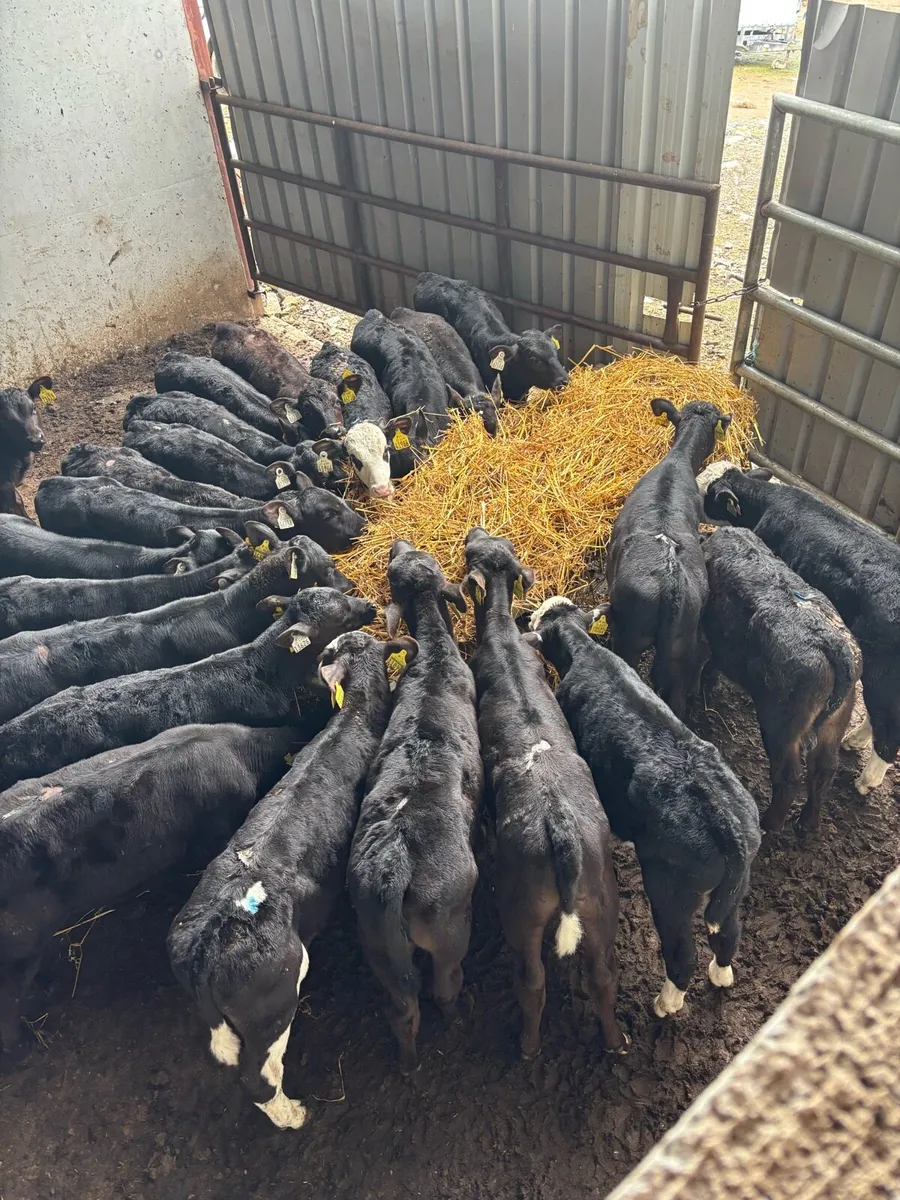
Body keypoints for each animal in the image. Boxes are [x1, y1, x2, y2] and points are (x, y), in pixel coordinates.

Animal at [348, 541, 482, 1073]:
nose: (397, 545)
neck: (435, 657)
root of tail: (394, 863)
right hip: (449, 926)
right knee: (443, 985)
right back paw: (458, 1014)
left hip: (377, 945)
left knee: (402, 1008)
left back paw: (407, 1063)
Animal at [463, 530, 627, 1057]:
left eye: (470, 552)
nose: (474, 532)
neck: (503, 637)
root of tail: (562, 835)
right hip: (602, 904)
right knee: (603, 976)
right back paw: (615, 1041)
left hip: (523, 915)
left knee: (532, 981)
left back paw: (528, 1045)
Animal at [525, 597, 760, 1019]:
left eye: (538, 620)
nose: (527, 616)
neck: (587, 651)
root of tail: (727, 823)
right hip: (735, 887)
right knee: (728, 933)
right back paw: (721, 975)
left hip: (670, 890)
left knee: (682, 954)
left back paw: (666, 1003)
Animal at [701, 526, 861, 833]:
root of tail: (834, 643)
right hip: (834, 724)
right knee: (824, 769)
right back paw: (807, 823)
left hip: (780, 727)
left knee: (789, 776)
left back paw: (770, 824)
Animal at [703, 464, 900, 796]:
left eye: (709, 491)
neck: (769, 503)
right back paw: (854, 741)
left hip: (884, 677)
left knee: (889, 728)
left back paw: (868, 779)